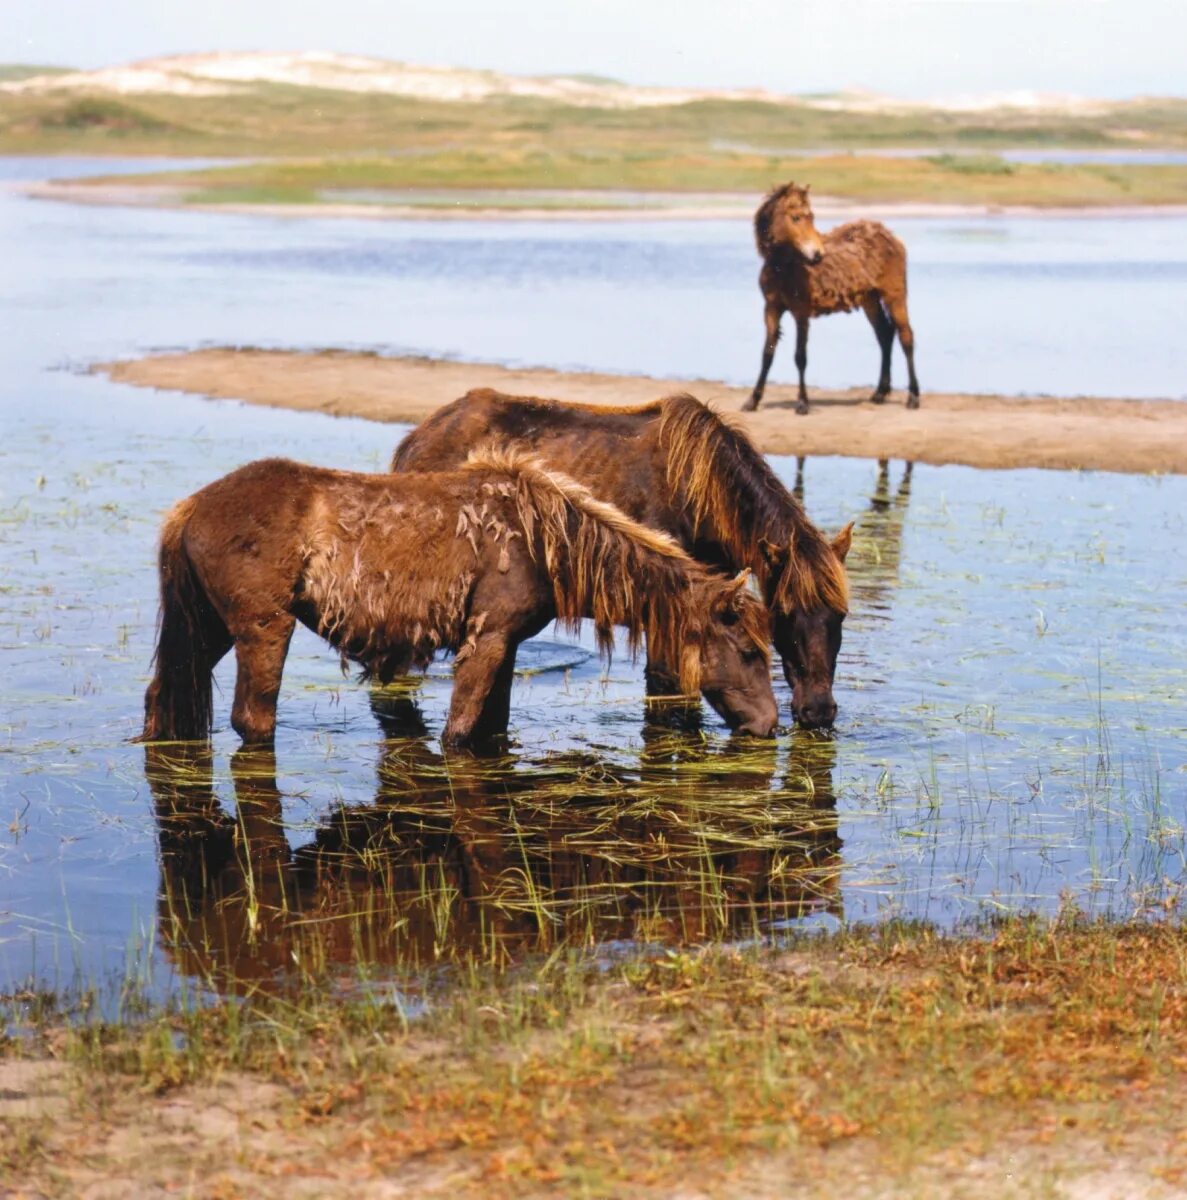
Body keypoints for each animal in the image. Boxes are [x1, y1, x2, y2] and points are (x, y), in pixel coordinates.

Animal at [136, 446, 777, 744]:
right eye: (750, 652)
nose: (769, 726)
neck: (545, 542)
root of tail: (189, 508)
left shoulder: (506, 645)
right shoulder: (485, 639)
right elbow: (461, 731)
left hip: (206, 630)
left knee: (163, 698)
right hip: (263, 628)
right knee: (253, 719)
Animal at [739, 181, 916, 417]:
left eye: (812, 216)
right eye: (796, 217)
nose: (817, 255)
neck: (784, 268)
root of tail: (890, 236)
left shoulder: (801, 313)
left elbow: (800, 356)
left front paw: (802, 403)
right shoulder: (771, 309)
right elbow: (767, 354)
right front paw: (753, 400)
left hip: (894, 295)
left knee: (906, 337)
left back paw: (913, 397)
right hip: (870, 300)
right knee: (884, 335)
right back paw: (879, 393)